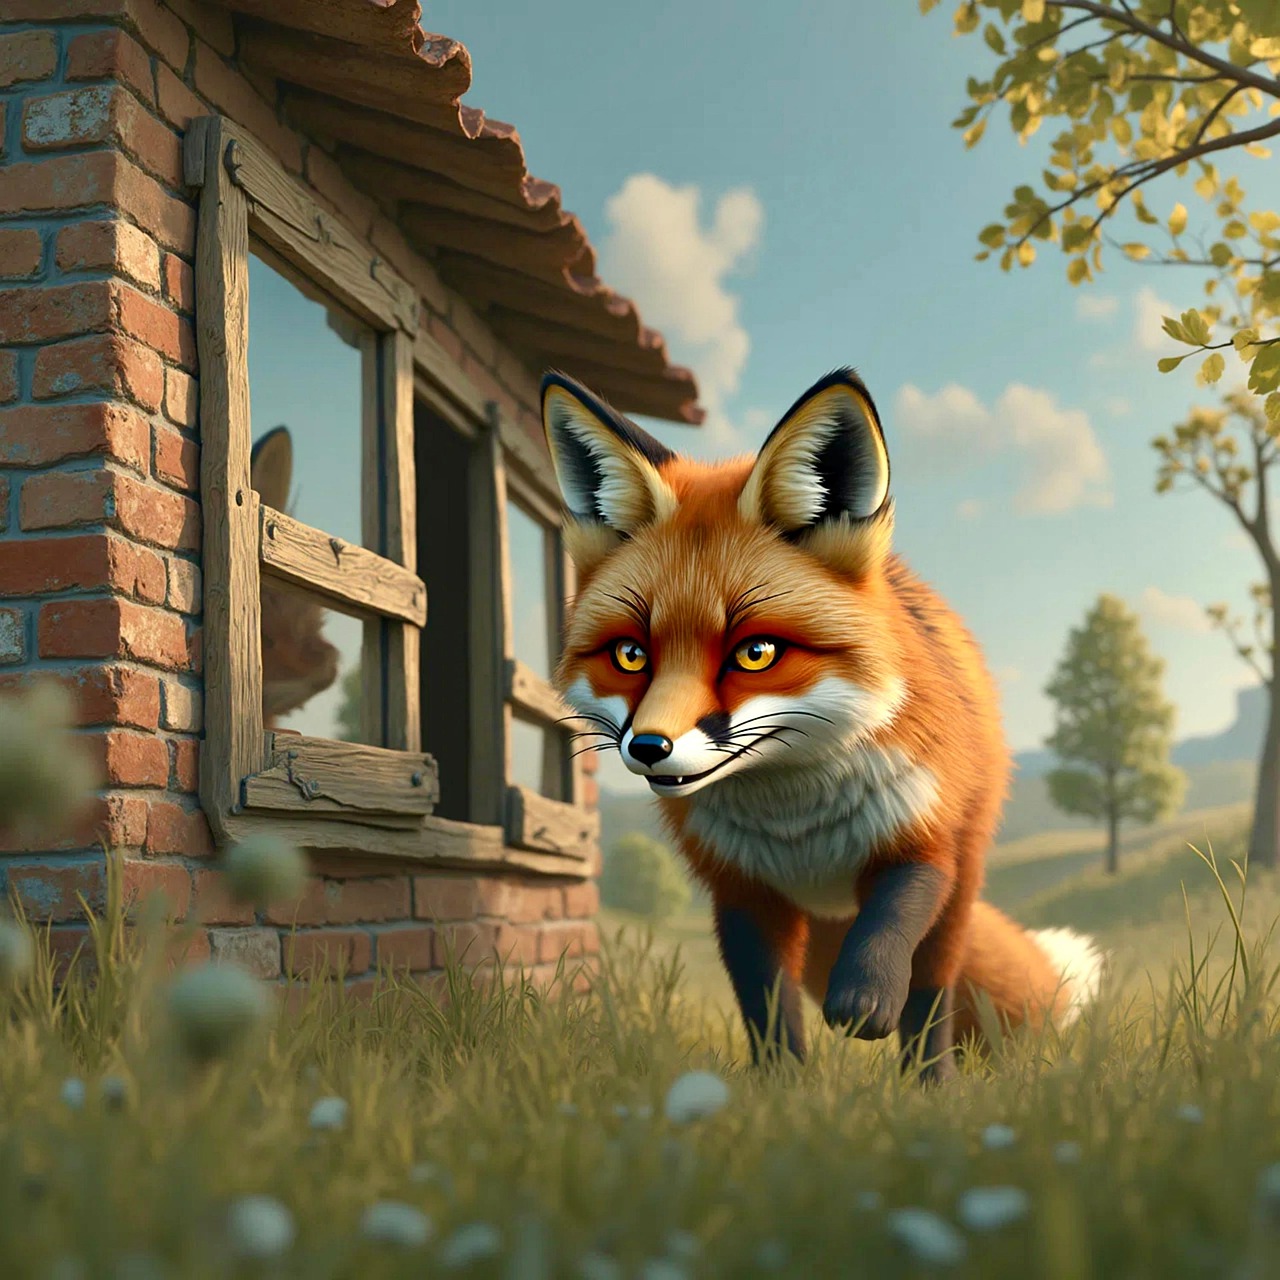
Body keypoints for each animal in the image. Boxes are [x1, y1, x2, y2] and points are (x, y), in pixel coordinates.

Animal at [540, 367, 1104, 1083]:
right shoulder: (743, 892)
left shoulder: (924, 842)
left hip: (960, 886)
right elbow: (768, 1006)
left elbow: (890, 927)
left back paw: (933, 1084)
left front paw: (865, 1000)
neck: (798, 828)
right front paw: (781, 1089)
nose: (648, 747)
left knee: (934, 993)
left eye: (755, 653)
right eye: (631, 655)